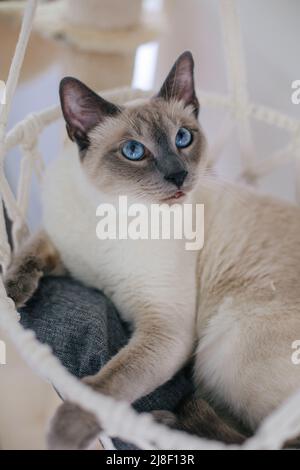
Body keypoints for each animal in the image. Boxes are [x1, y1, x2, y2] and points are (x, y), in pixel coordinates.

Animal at [4, 50, 300, 448]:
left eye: (183, 138)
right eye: (133, 151)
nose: (178, 176)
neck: (116, 212)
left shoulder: (165, 330)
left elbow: (106, 386)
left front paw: (65, 430)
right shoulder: (64, 245)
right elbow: (30, 252)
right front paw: (11, 294)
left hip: (226, 348)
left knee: (263, 440)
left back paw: (167, 423)